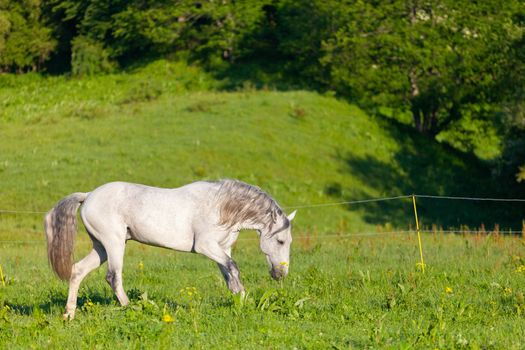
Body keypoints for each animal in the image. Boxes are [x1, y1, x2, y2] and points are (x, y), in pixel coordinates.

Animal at [44, 180, 294, 320]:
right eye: (281, 241)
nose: (281, 274)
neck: (221, 207)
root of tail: (88, 196)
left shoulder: (222, 249)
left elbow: (229, 273)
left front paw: (240, 301)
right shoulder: (205, 246)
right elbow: (233, 268)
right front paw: (242, 299)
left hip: (102, 247)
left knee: (77, 271)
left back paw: (69, 314)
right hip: (113, 243)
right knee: (113, 277)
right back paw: (133, 309)